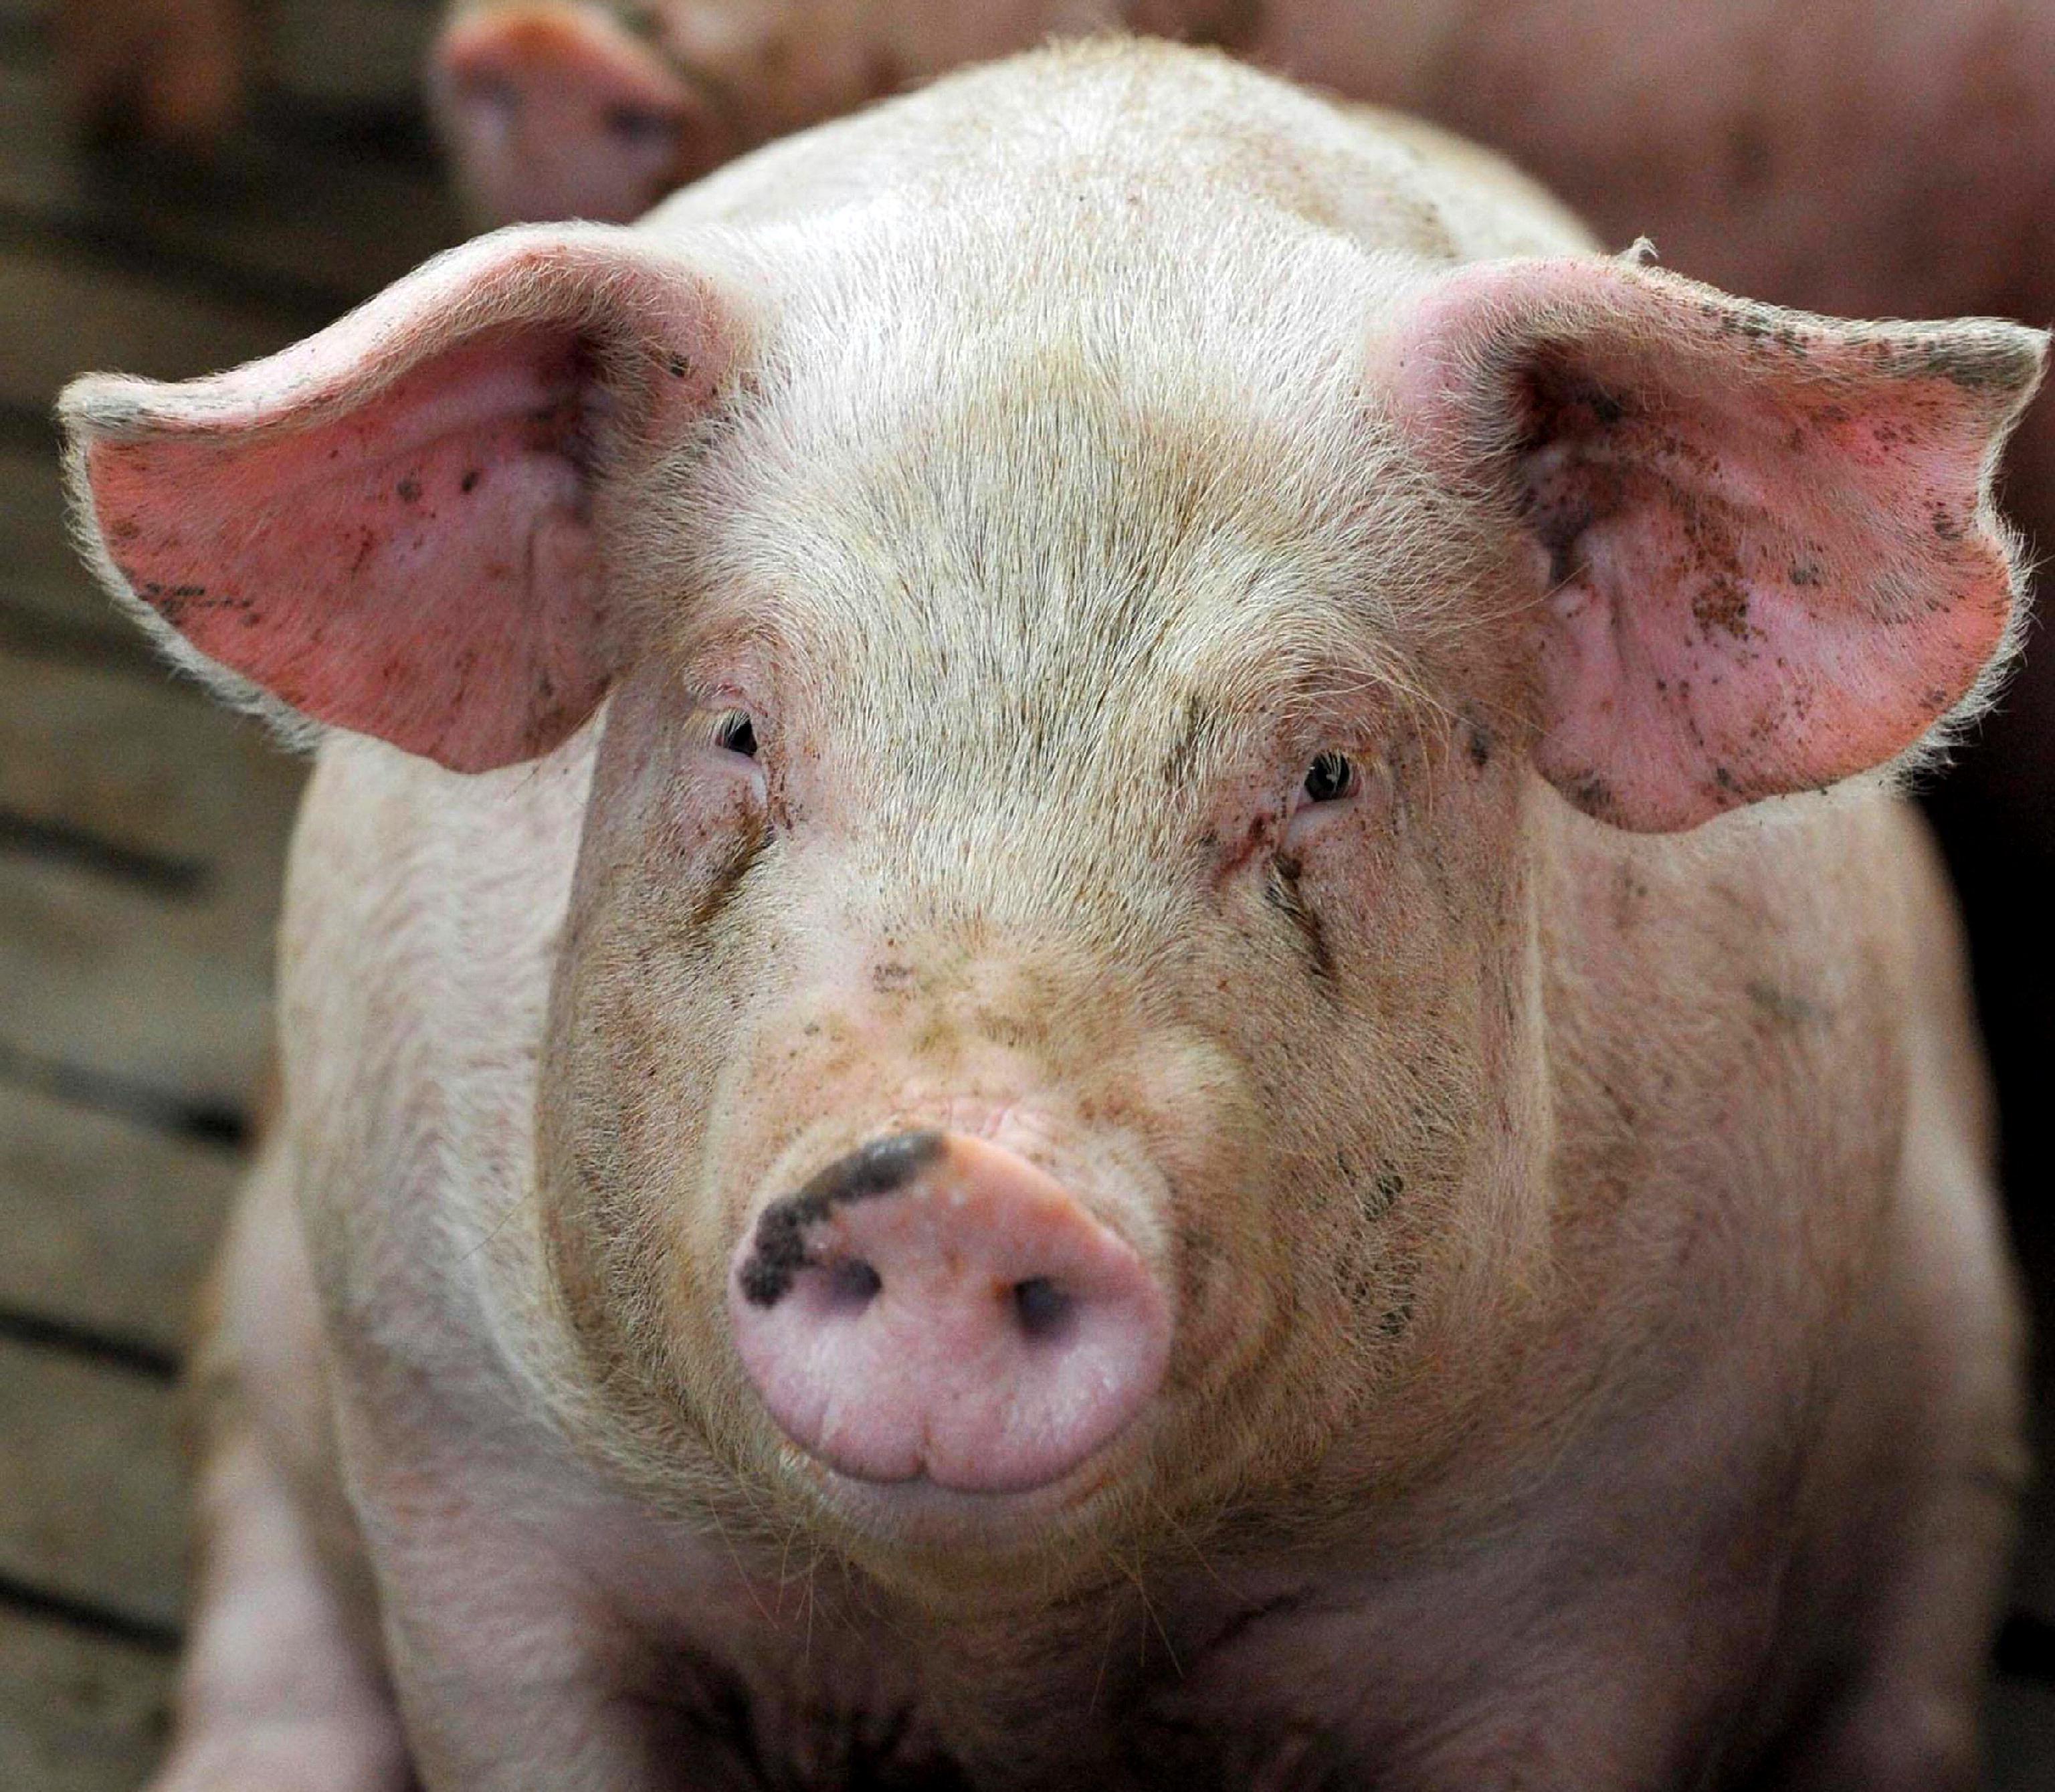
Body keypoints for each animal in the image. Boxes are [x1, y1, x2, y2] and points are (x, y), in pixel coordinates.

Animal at [60, 37, 2045, 1792]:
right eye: (737, 726)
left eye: (1325, 772)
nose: (955, 1175)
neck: (1000, 1655)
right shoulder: (471, 1470)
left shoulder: (1624, 1554)